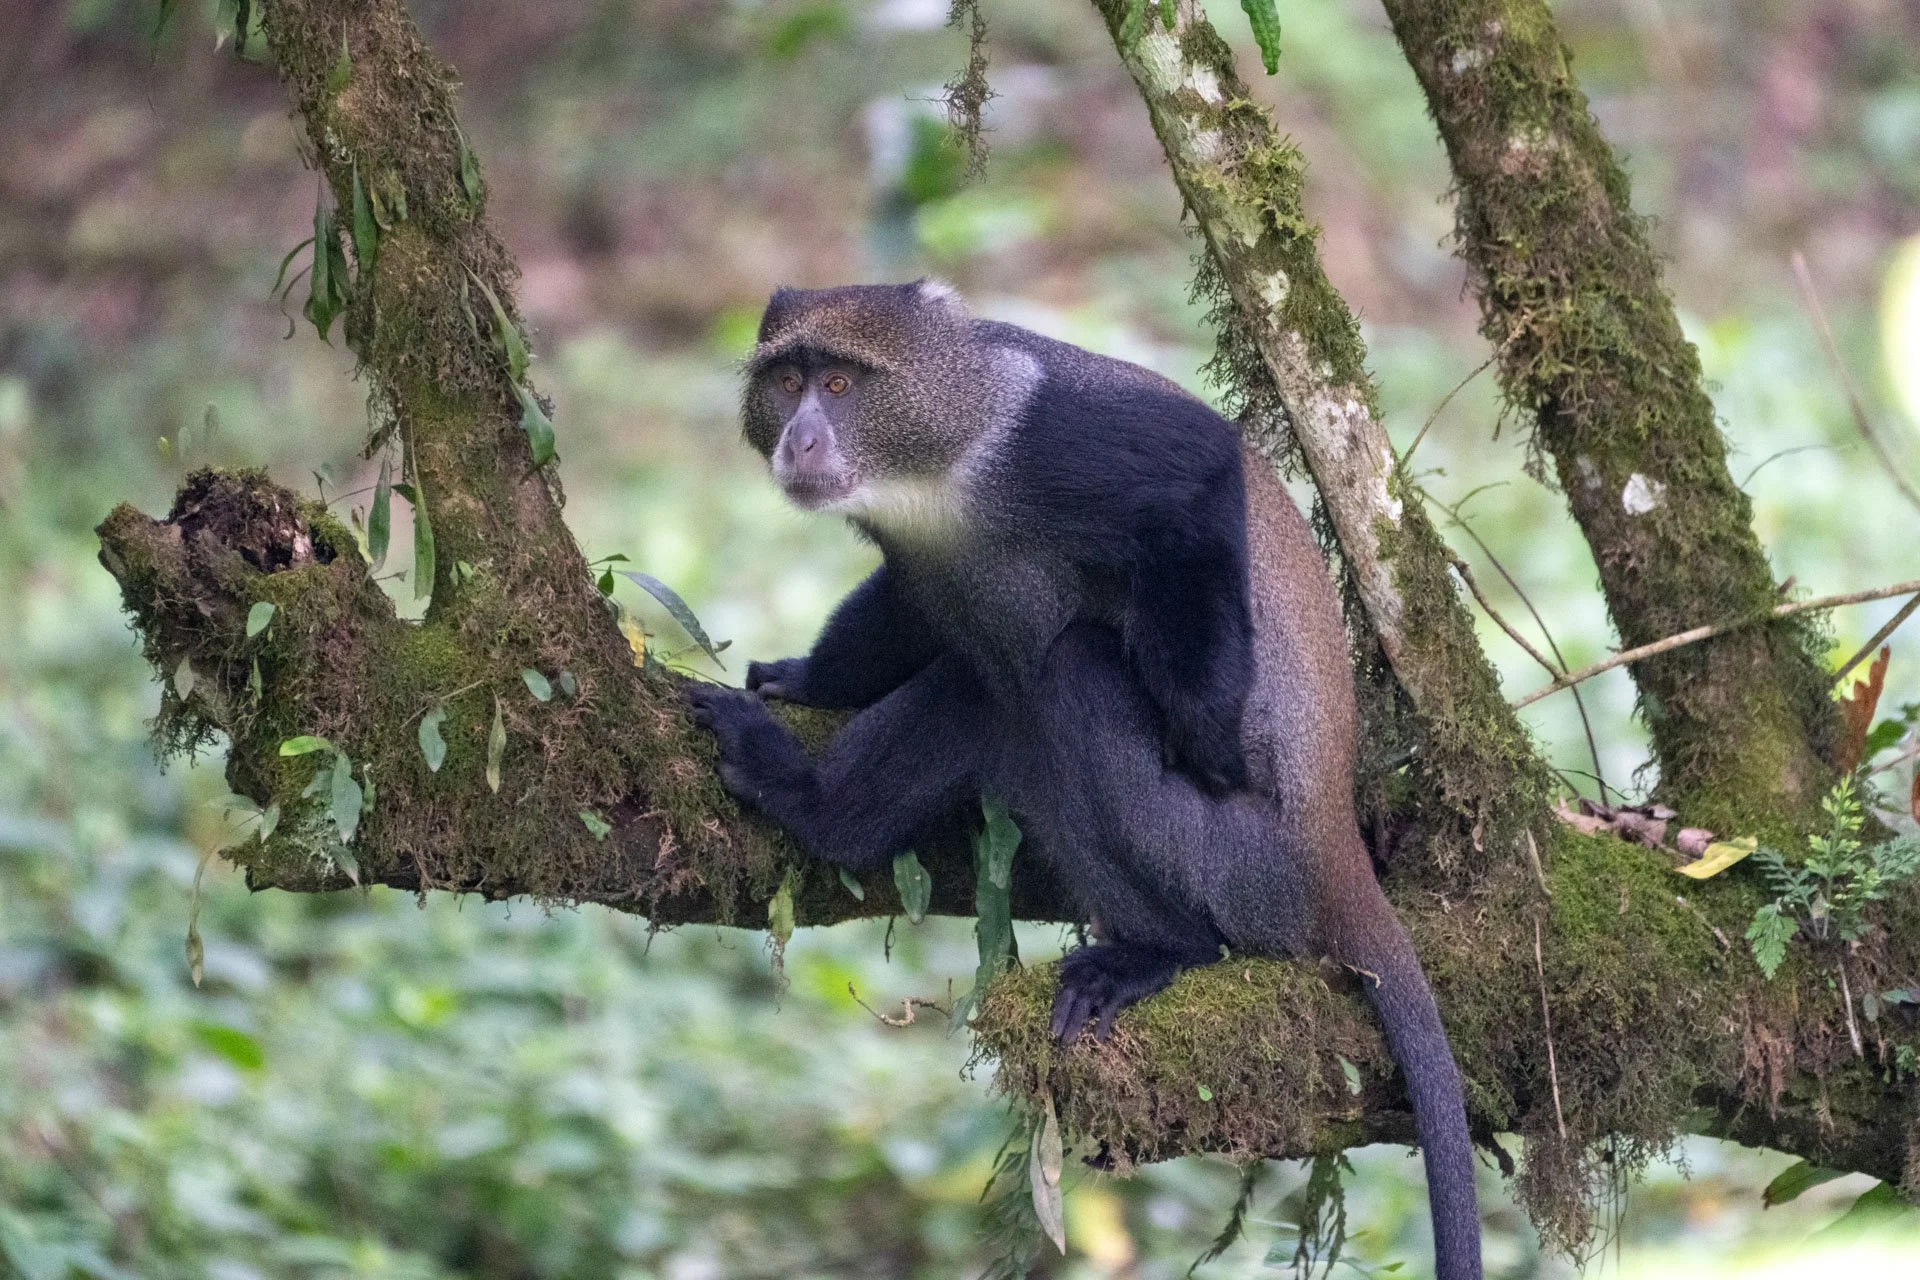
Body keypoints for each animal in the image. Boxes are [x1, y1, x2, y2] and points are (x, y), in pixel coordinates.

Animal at [685, 281, 1481, 1280]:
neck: (938, 456)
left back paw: (1156, 945)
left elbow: (1197, 482)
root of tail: (1333, 853)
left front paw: (1210, 735)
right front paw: (806, 678)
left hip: (1239, 862)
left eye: (837, 382)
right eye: (786, 383)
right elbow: (911, 608)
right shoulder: (914, 555)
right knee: (994, 682)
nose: (800, 440)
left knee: (1067, 672)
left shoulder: (1063, 441)